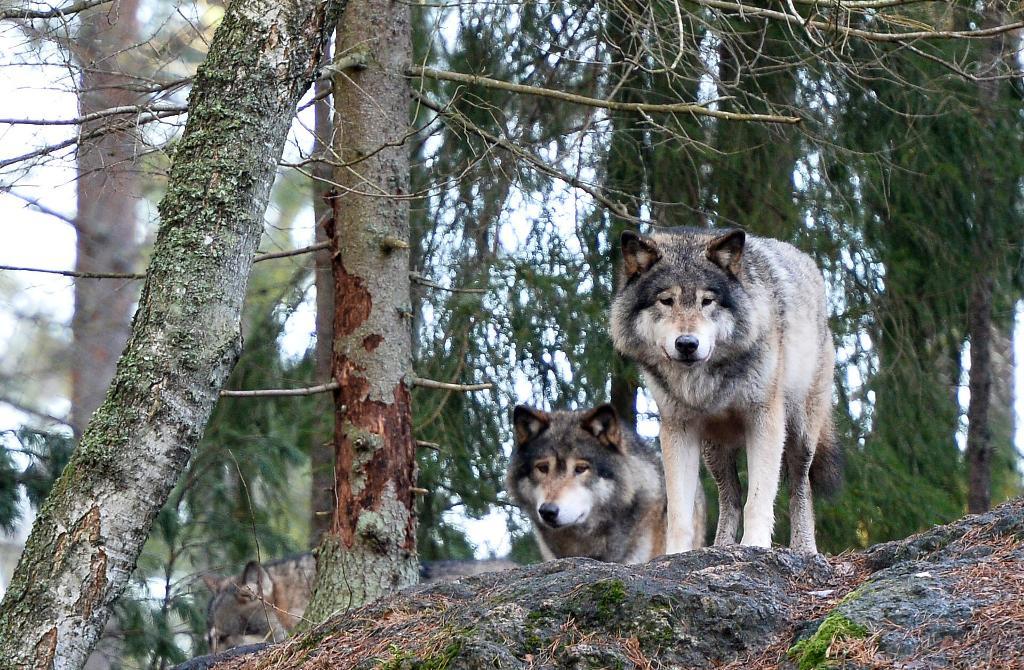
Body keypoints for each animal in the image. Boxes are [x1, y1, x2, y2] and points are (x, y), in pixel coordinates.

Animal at [606, 228, 839, 553]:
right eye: (666, 300)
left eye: (707, 301)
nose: (687, 344)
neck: (706, 382)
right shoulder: (678, 428)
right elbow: (679, 512)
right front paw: (676, 555)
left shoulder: (764, 420)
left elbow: (759, 498)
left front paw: (755, 545)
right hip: (714, 449)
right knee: (730, 494)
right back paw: (722, 547)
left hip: (801, 433)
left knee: (800, 486)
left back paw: (804, 549)